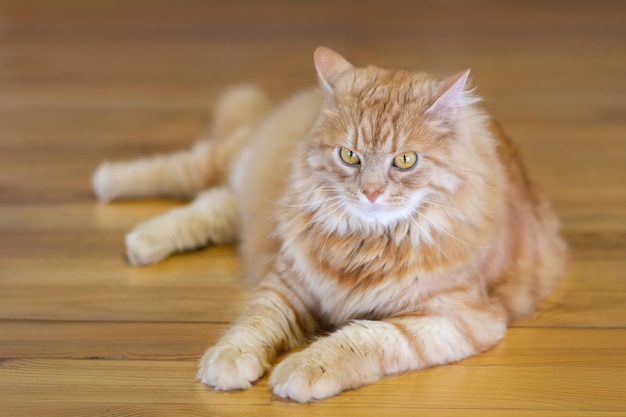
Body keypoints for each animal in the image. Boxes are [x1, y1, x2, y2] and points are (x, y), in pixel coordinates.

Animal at [91, 47, 564, 402]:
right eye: (349, 155)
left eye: (405, 160)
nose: (370, 192)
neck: (366, 243)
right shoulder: (288, 282)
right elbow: (253, 324)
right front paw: (228, 360)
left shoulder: (456, 319)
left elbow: (360, 338)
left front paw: (302, 367)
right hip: (235, 163)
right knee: (186, 169)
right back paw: (111, 184)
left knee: (212, 203)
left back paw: (143, 239)